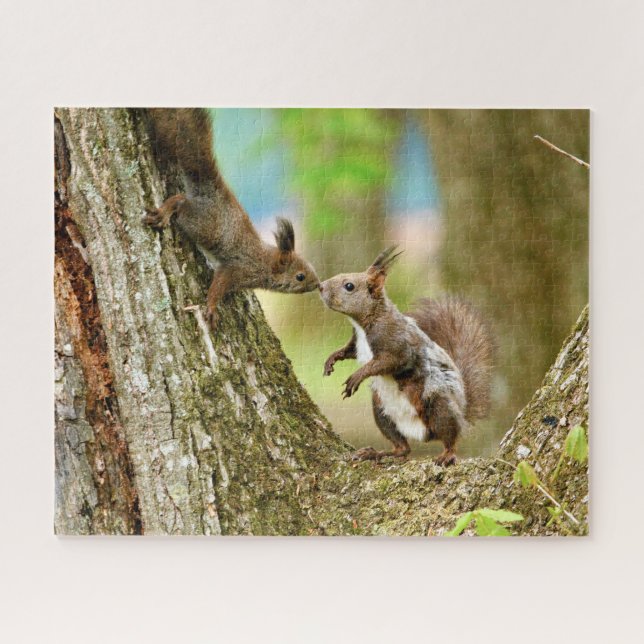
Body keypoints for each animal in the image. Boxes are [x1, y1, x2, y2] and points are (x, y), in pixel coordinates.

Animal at [142, 108, 320, 327]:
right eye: (300, 276)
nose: (318, 284)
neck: (266, 263)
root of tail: (210, 190)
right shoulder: (238, 269)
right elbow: (219, 284)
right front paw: (211, 308)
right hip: (203, 224)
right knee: (180, 202)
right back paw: (165, 212)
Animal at [320, 246, 493, 465]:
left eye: (349, 286)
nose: (320, 287)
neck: (365, 323)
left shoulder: (397, 345)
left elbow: (388, 362)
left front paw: (357, 376)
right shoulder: (356, 342)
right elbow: (348, 351)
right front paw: (331, 359)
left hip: (439, 406)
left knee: (450, 436)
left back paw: (447, 454)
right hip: (382, 413)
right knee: (403, 448)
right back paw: (377, 453)